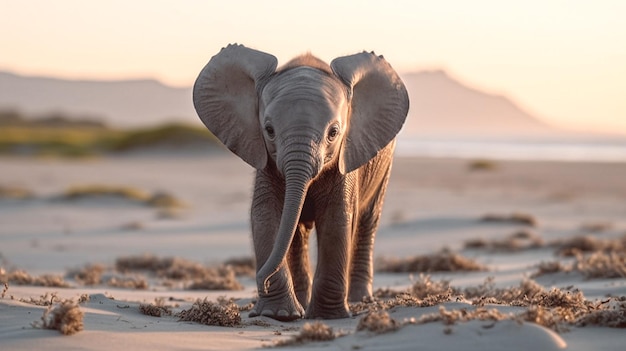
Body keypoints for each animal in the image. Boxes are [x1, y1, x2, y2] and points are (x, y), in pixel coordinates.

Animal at [193, 44, 408, 322]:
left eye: (334, 133)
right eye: (269, 130)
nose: (261, 282)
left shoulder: (345, 160)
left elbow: (337, 219)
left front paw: (327, 316)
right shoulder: (267, 163)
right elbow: (266, 215)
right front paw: (279, 314)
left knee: (367, 220)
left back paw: (359, 300)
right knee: (296, 233)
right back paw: (301, 305)